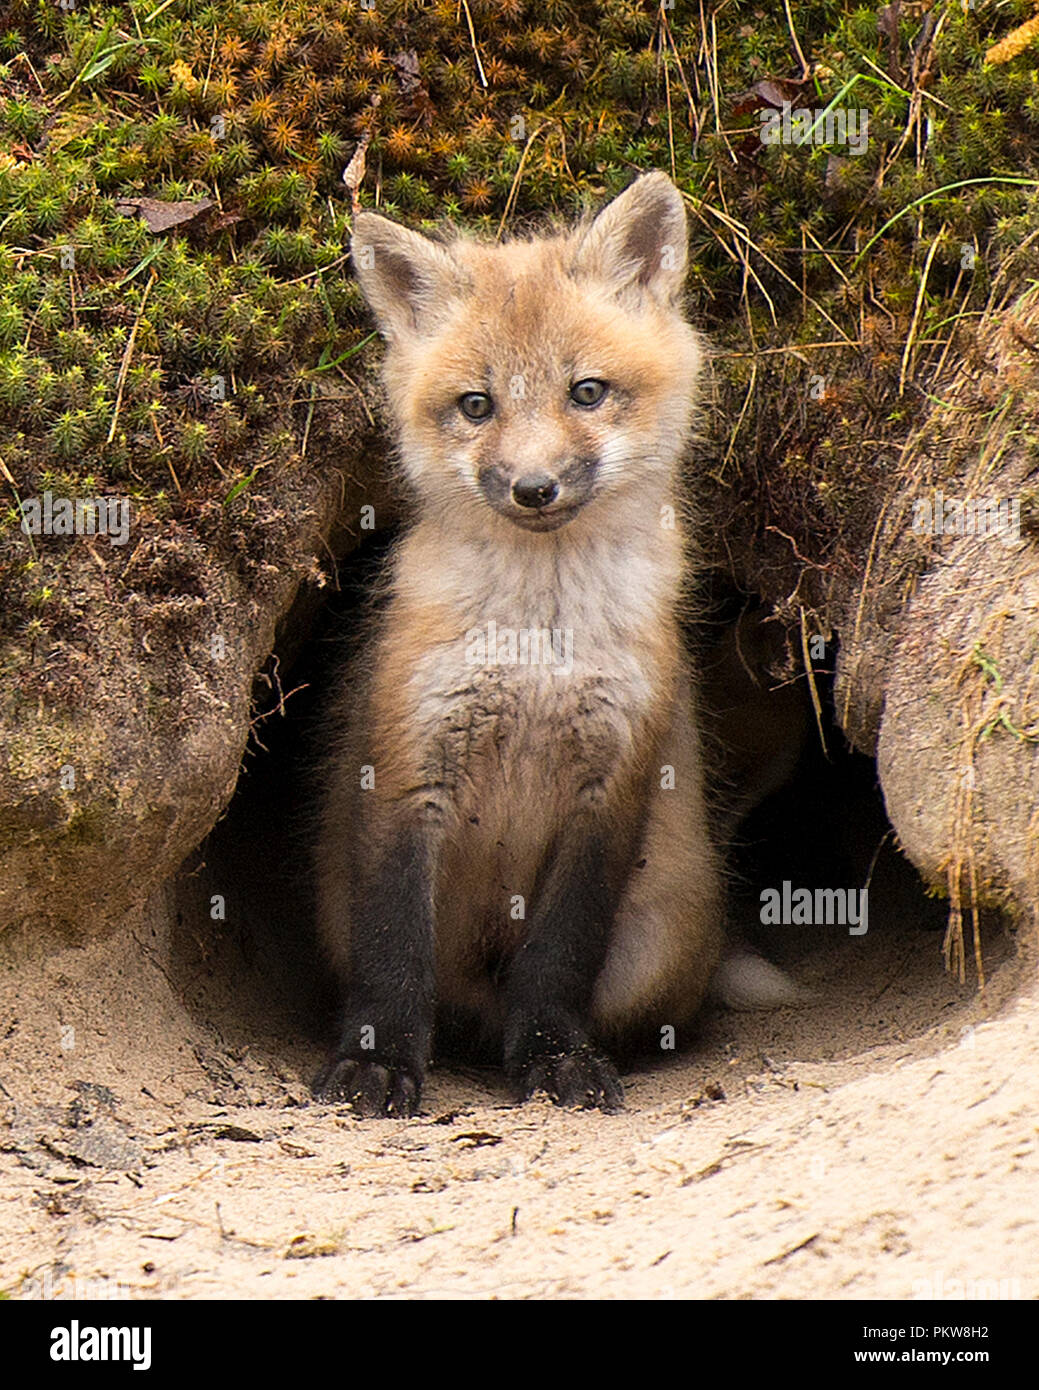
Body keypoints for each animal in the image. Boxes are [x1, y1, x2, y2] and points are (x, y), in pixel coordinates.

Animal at [312, 170, 728, 1117]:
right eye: (477, 405)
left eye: (587, 392)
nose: (534, 488)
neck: (538, 644)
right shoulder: (406, 767)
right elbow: (394, 950)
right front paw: (378, 1061)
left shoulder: (612, 787)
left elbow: (558, 958)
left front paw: (552, 1057)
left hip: (655, 943)